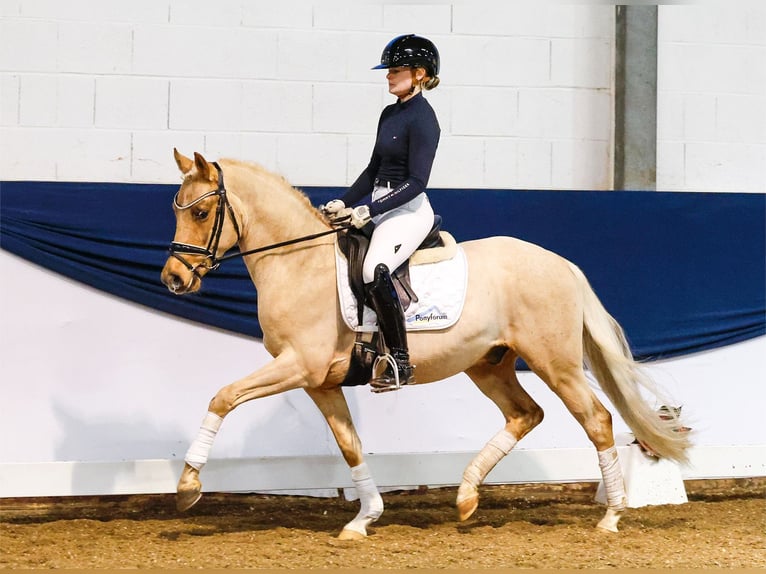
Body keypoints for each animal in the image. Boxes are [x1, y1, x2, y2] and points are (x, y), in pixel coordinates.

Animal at [160, 151, 688, 544]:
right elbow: (349, 444)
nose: (173, 279)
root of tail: (562, 264)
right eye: (176, 211)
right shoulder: (319, 381)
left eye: (202, 213)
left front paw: (188, 486)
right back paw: (467, 496)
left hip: (555, 363)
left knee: (596, 420)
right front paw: (364, 518)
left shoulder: (297, 366)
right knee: (525, 414)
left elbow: (223, 396)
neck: (299, 264)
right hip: (488, 365)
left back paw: (612, 515)